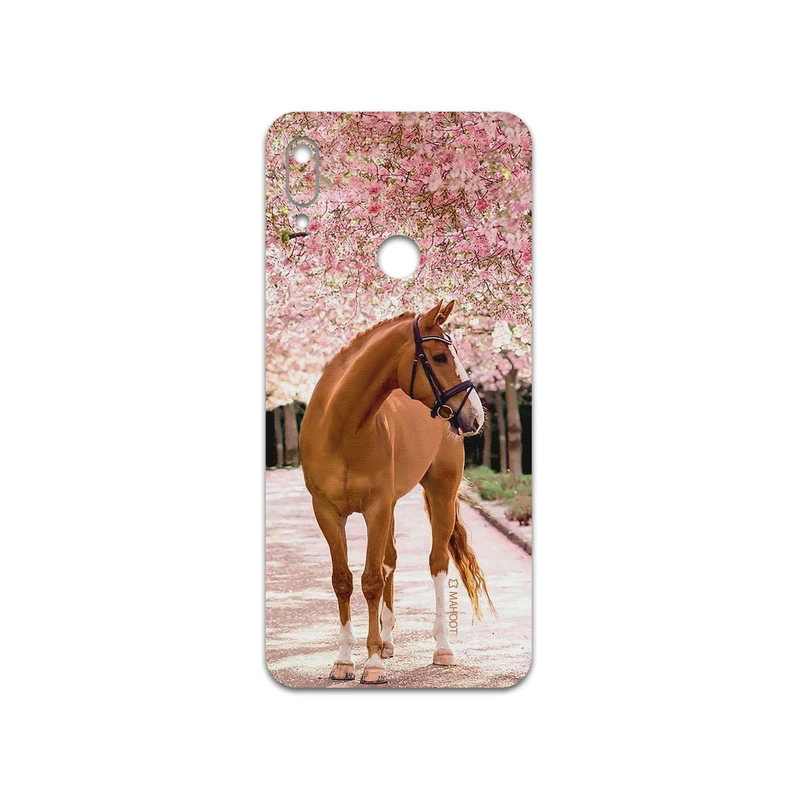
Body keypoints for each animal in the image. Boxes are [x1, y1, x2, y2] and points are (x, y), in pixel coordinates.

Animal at [299, 300, 493, 684]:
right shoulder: (327, 512)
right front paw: (344, 660)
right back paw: (388, 642)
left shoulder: (375, 508)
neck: (341, 427)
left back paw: (442, 648)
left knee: (436, 563)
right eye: (439, 357)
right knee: (390, 560)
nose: (476, 416)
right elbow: (343, 580)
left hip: (440, 493)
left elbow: (371, 580)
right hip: (390, 506)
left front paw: (371, 664)